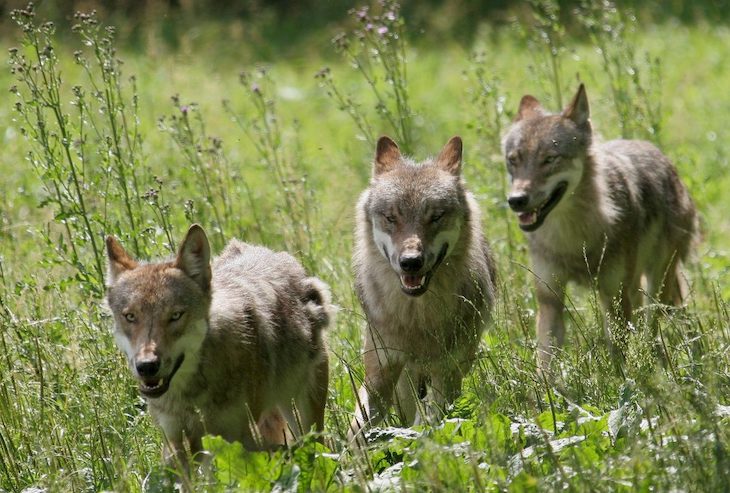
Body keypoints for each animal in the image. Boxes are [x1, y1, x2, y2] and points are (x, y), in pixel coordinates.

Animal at [105, 224, 332, 467]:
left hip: (304, 418)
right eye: (130, 317)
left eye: (175, 316)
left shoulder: (234, 438)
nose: (147, 366)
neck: (190, 394)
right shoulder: (175, 440)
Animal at [348, 136, 497, 443]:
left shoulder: (447, 372)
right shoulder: (379, 373)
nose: (410, 262)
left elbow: (427, 421)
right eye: (391, 217)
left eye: (436, 217)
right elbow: (357, 431)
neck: (416, 317)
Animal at [502, 83, 697, 372]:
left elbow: (618, 358)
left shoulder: (613, 297)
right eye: (514, 160)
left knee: (651, 328)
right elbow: (546, 363)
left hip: (655, 285)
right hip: (635, 287)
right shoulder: (550, 299)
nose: (516, 200)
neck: (573, 237)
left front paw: (624, 382)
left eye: (550, 159)